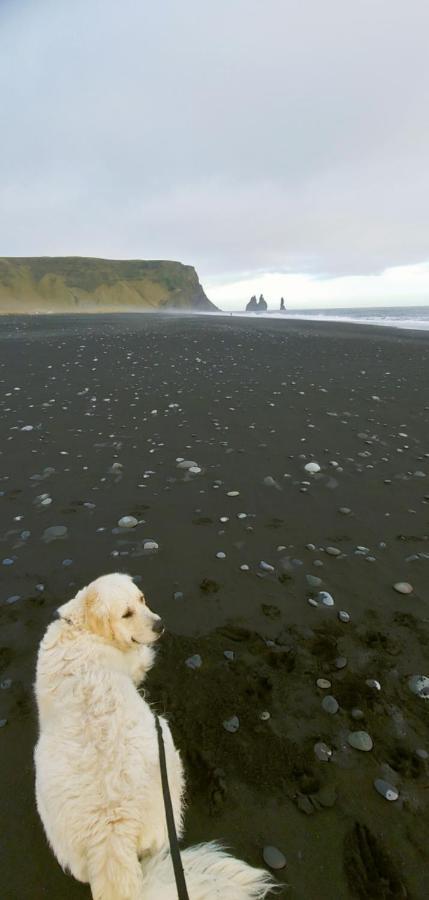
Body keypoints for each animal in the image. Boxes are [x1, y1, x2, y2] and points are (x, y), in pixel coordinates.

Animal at [33, 576, 274, 900]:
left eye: (142, 599)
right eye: (125, 614)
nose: (160, 625)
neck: (82, 629)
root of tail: (112, 834)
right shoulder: (135, 660)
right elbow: (143, 657)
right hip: (165, 744)